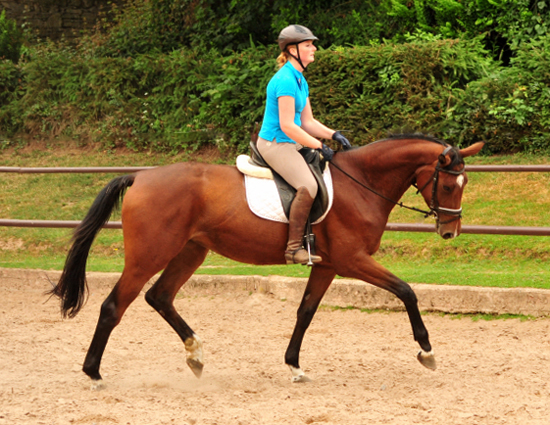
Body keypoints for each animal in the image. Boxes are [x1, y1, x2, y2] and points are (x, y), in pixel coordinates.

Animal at [49, 133, 486, 388]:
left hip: (191, 250)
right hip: (149, 254)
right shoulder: (352, 261)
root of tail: (140, 177)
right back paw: (93, 373)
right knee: (114, 306)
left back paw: (195, 355)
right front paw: (426, 351)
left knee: (160, 297)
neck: (361, 183)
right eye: (450, 185)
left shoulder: (327, 265)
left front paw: (294, 366)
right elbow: (406, 290)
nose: (450, 231)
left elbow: (305, 312)